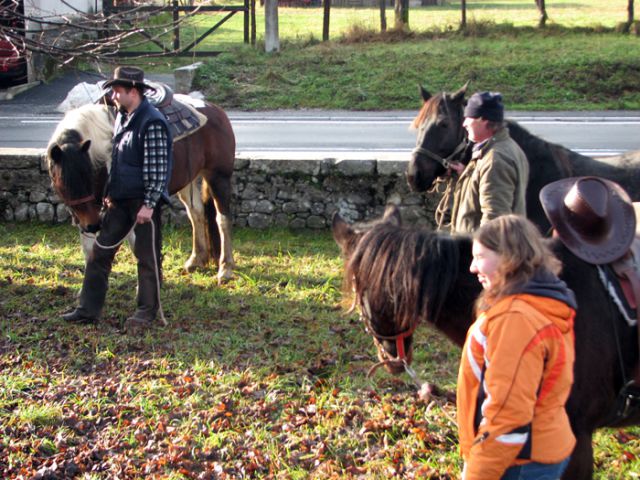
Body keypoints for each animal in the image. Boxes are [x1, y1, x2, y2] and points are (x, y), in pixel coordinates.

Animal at [46, 100, 235, 282]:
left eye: (89, 175)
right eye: (62, 182)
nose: (93, 225)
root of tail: (217, 111)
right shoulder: (87, 213)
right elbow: (88, 248)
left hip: (218, 176)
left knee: (222, 219)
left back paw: (225, 269)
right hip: (188, 180)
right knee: (196, 212)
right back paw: (196, 260)